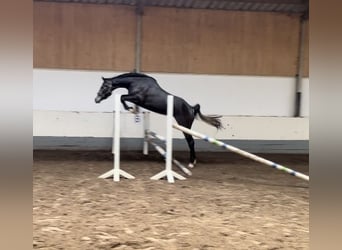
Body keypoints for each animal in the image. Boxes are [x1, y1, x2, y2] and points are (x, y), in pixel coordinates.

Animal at [93, 72, 223, 168]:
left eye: (104, 87)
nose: (96, 99)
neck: (136, 82)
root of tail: (191, 108)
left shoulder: (137, 98)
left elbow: (122, 97)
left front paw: (130, 109)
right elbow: (122, 97)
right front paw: (131, 109)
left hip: (184, 126)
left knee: (190, 142)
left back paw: (191, 163)